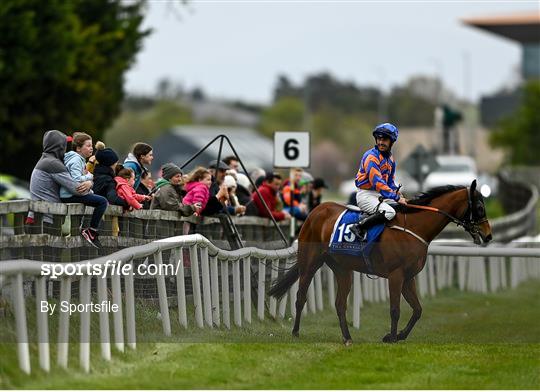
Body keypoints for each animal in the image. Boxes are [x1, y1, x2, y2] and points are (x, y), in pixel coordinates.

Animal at [268, 179, 492, 344]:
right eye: (480, 207)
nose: (488, 235)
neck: (413, 227)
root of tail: (315, 211)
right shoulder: (396, 275)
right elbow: (395, 310)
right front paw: (391, 337)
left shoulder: (408, 277)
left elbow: (417, 310)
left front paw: (399, 335)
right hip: (310, 261)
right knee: (300, 297)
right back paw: (296, 332)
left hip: (342, 269)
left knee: (340, 304)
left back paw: (347, 338)